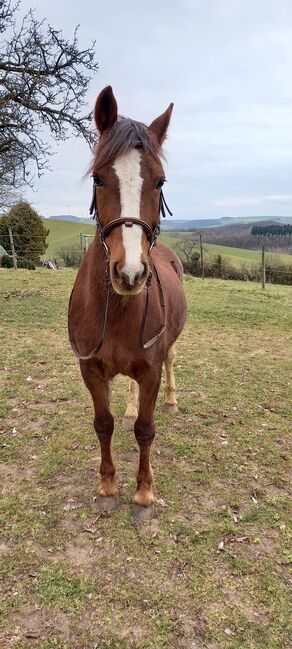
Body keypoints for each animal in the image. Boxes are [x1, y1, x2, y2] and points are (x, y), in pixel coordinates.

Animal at [68, 87, 186, 516]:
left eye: (160, 181)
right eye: (98, 179)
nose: (130, 273)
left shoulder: (150, 369)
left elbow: (145, 430)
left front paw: (144, 492)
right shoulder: (90, 369)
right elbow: (104, 424)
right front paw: (107, 486)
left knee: (170, 362)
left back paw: (171, 401)